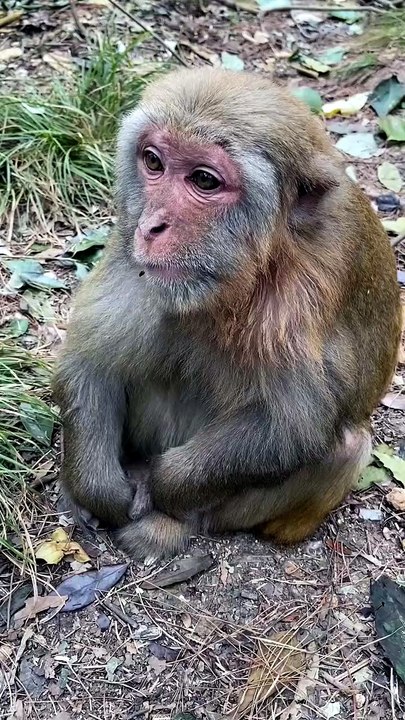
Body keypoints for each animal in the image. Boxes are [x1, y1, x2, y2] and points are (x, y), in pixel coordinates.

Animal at [53, 67, 401, 560]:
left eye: (204, 181)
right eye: (153, 162)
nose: (151, 225)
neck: (252, 269)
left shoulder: (302, 300)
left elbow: (292, 428)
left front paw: (163, 484)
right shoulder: (127, 253)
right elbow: (91, 361)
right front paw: (101, 489)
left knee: (347, 446)